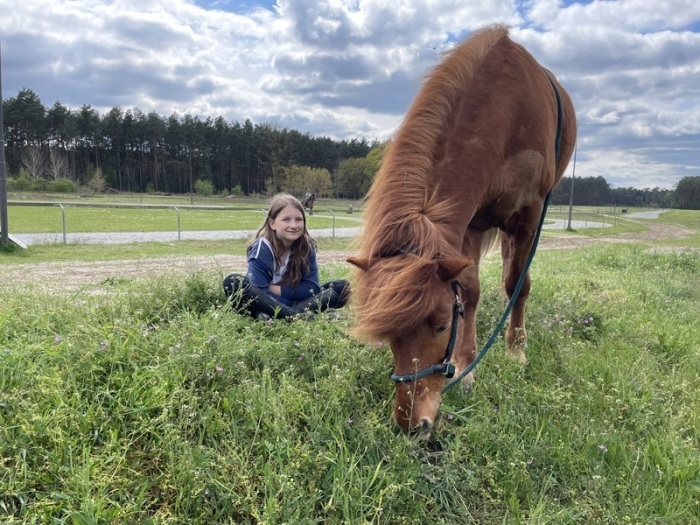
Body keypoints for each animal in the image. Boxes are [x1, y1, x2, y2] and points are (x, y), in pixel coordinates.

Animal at [347, 25, 576, 436]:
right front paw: (467, 367)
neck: (507, 109)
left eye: (441, 327)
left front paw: (516, 350)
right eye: (390, 337)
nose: (412, 423)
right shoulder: (469, 223)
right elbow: (469, 292)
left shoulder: (530, 213)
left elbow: (517, 284)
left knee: (516, 277)